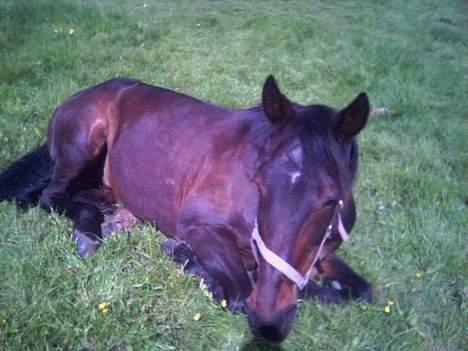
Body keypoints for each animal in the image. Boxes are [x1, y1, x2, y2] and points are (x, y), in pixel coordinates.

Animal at [0, 76, 372, 344]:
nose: (270, 317)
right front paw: (188, 259)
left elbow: (361, 291)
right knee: (51, 196)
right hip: (84, 142)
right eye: (260, 181)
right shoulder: (199, 227)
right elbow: (240, 295)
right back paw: (89, 231)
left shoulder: (321, 254)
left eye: (331, 199)